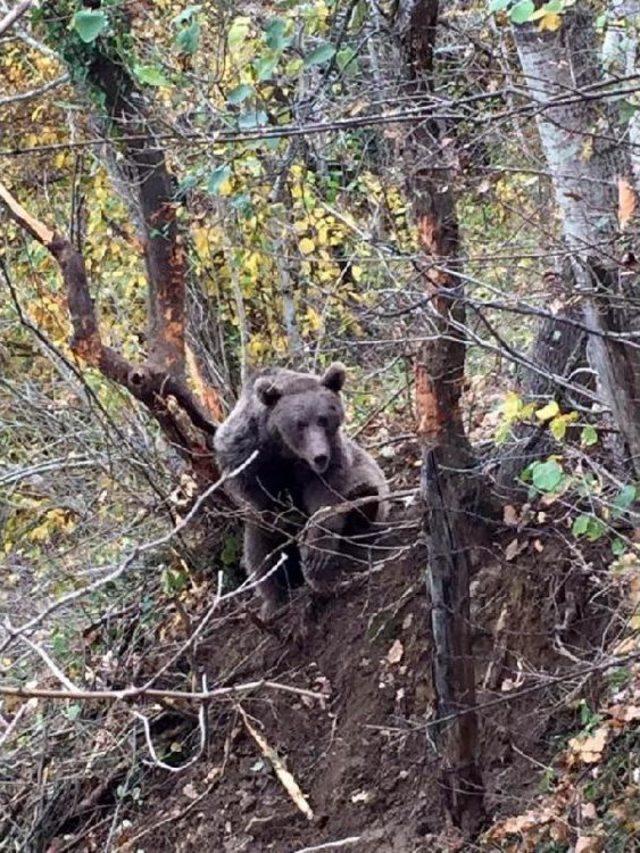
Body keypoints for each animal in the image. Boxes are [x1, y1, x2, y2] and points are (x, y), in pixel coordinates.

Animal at [212, 362, 388, 616]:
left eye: (323, 419)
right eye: (300, 423)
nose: (319, 456)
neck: (284, 449)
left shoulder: (329, 458)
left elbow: (326, 496)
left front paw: (316, 556)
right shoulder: (246, 451)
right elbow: (253, 496)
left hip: (366, 470)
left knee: (367, 486)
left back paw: (364, 501)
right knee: (258, 552)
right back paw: (274, 600)